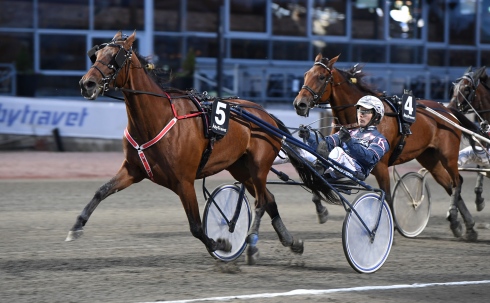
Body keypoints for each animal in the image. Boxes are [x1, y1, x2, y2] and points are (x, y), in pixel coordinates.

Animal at [67, 29, 304, 264]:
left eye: (114, 59)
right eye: (96, 55)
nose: (86, 84)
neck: (158, 118)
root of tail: (266, 114)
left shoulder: (184, 181)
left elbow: (196, 227)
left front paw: (221, 244)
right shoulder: (133, 170)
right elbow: (102, 190)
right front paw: (76, 226)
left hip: (258, 166)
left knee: (262, 202)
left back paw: (252, 243)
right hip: (240, 168)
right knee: (270, 199)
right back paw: (291, 241)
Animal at [292, 53, 480, 241]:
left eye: (321, 77)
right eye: (306, 74)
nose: (299, 104)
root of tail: (447, 110)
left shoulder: (380, 166)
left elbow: (387, 196)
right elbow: (318, 175)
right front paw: (321, 209)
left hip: (448, 156)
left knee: (457, 182)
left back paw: (456, 217)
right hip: (429, 158)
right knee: (448, 184)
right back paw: (464, 226)